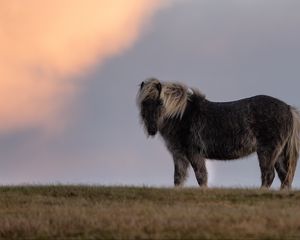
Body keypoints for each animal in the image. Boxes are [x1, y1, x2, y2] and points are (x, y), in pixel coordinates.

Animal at [137, 78, 298, 188]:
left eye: (160, 103)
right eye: (143, 103)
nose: (151, 129)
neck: (182, 116)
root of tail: (288, 108)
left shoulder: (194, 153)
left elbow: (201, 176)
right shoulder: (179, 155)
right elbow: (178, 178)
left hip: (267, 151)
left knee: (268, 175)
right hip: (278, 154)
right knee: (284, 177)